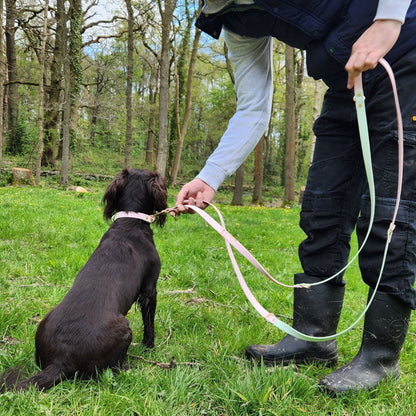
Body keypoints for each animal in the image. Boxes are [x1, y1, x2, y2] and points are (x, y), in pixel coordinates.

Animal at [2, 167, 167, 392]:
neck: (130, 220)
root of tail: (59, 361)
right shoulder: (150, 288)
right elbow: (149, 324)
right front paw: (149, 347)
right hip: (124, 327)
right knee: (109, 369)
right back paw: (128, 366)